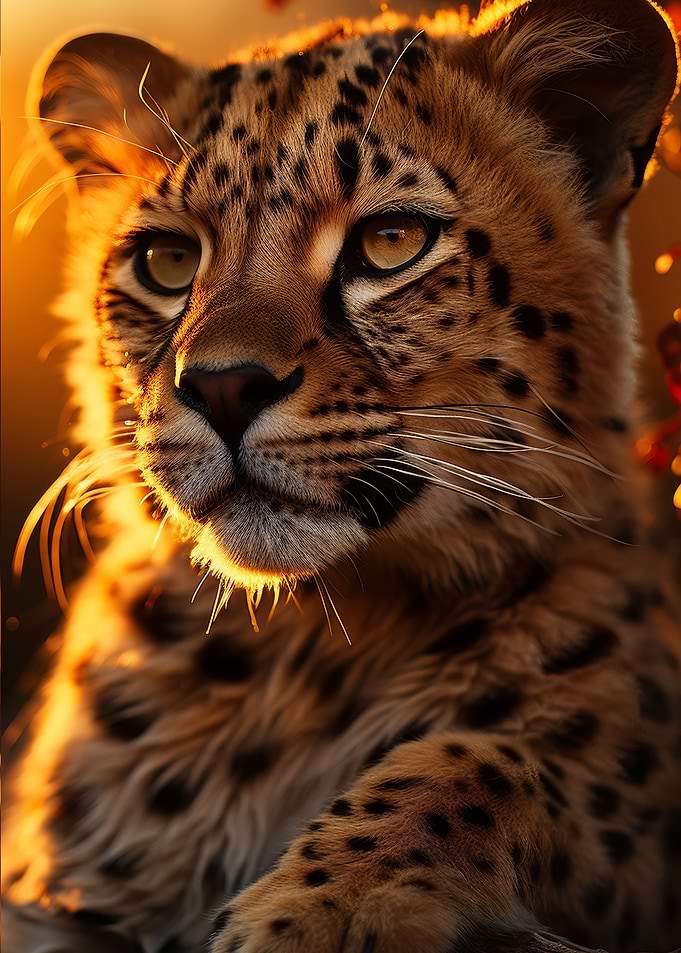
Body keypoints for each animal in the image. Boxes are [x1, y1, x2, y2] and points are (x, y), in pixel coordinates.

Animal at [3, 1, 681, 952]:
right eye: (167, 262)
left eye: (390, 244)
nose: (223, 385)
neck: (308, 644)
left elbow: (489, 759)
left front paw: (322, 908)